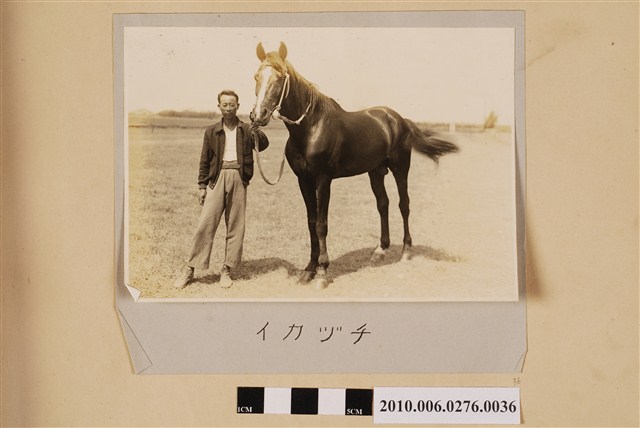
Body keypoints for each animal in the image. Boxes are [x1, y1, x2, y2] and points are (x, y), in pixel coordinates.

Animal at [250, 42, 458, 289]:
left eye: (281, 78)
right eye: (256, 77)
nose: (258, 115)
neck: (310, 128)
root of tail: (400, 120)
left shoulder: (323, 180)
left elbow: (321, 224)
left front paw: (322, 272)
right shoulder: (304, 180)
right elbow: (311, 222)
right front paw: (309, 270)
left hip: (400, 169)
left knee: (404, 204)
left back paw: (406, 251)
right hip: (376, 172)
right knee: (383, 204)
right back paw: (380, 250)